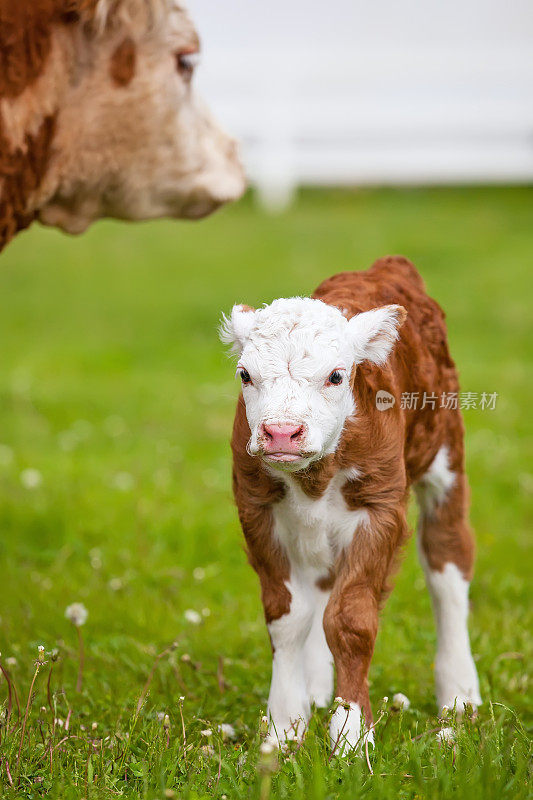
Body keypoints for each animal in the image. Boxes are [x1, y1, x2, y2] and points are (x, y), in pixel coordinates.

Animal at [220, 258, 482, 756]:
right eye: (245, 375)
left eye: (336, 376)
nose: (281, 433)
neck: (315, 477)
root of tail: (385, 265)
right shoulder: (254, 506)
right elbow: (288, 616)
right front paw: (284, 728)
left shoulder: (380, 509)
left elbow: (350, 620)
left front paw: (351, 734)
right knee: (321, 584)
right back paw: (318, 689)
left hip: (445, 449)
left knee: (447, 563)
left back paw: (459, 696)